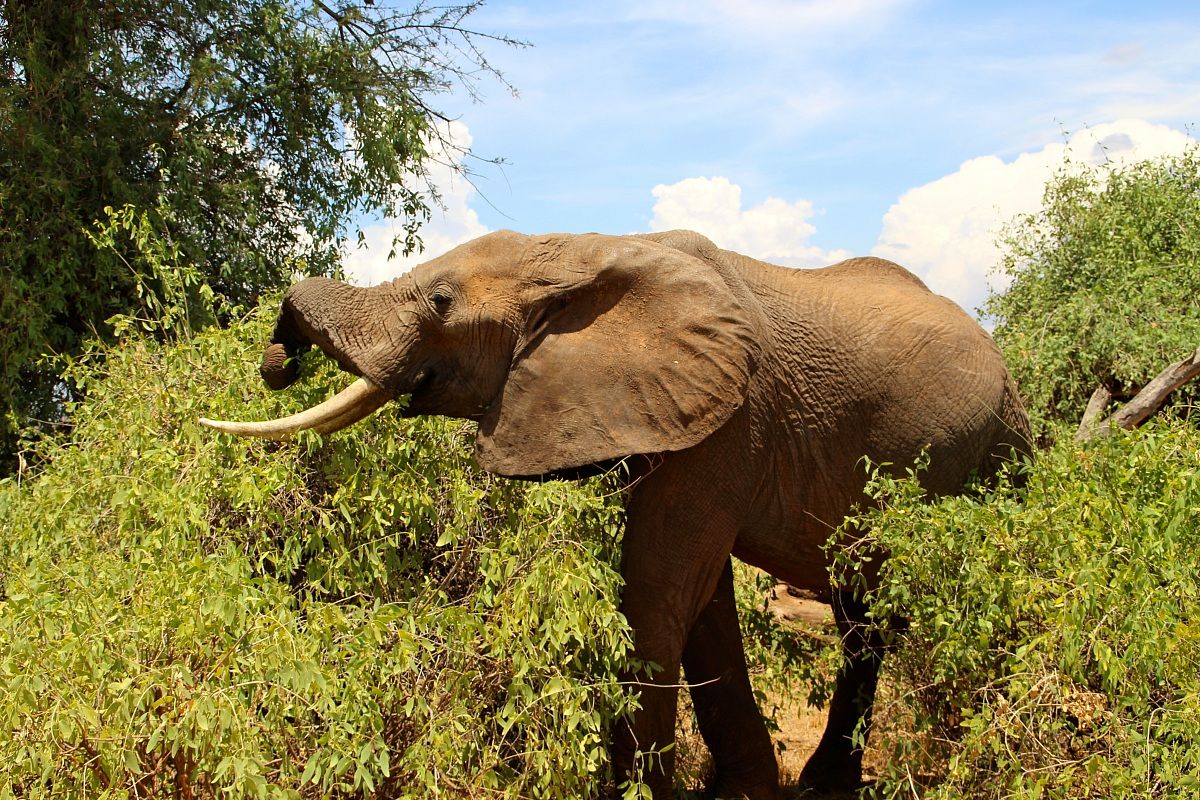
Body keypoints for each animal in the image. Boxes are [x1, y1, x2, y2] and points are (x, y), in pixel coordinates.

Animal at [201, 229, 1031, 798]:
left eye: (439, 302)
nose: (280, 360)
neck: (579, 248)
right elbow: (700, 606)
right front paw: (742, 794)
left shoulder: (731, 422)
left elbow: (658, 593)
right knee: (863, 617)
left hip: (999, 450)